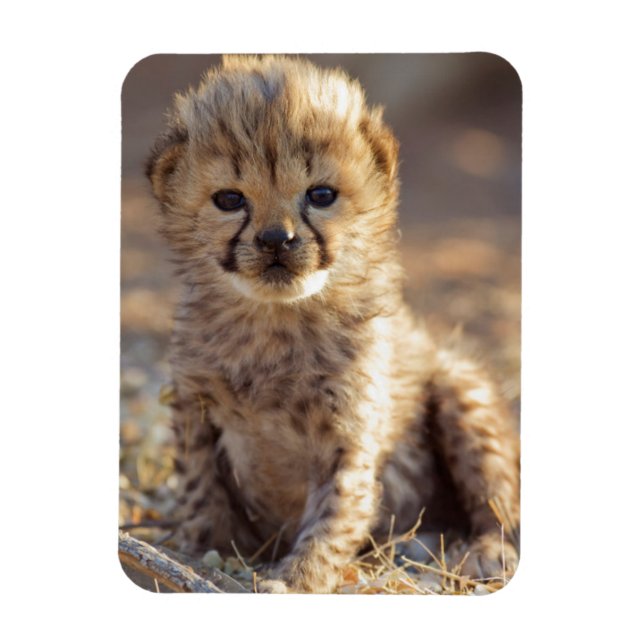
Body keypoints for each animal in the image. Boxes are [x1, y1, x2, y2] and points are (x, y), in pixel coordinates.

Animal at [145, 55, 520, 593]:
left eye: (320, 194)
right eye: (230, 200)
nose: (276, 240)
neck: (276, 323)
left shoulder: (349, 434)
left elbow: (336, 512)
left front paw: (297, 577)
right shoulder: (195, 408)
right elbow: (200, 490)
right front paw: (203, 550)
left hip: (461, 389)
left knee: (500, 501)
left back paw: (482, 551)